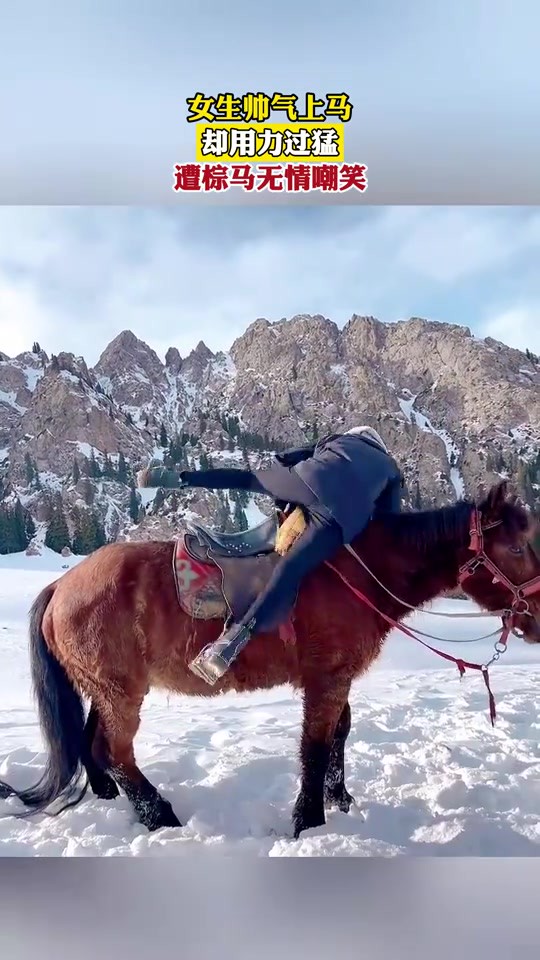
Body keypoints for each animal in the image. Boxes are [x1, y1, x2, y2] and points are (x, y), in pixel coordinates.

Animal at [1, 480, 540, 840]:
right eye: (516, 547)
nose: (535, 619)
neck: (359, 574)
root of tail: (61, 585)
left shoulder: (337, 678)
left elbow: (340, 735)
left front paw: (339, 800)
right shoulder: (326, 679)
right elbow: (316, 746)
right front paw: (308, 821)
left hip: (106, 688)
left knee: (91, 743)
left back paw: (113, 801)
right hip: (121, 692)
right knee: (114, 752)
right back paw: (160, 816)